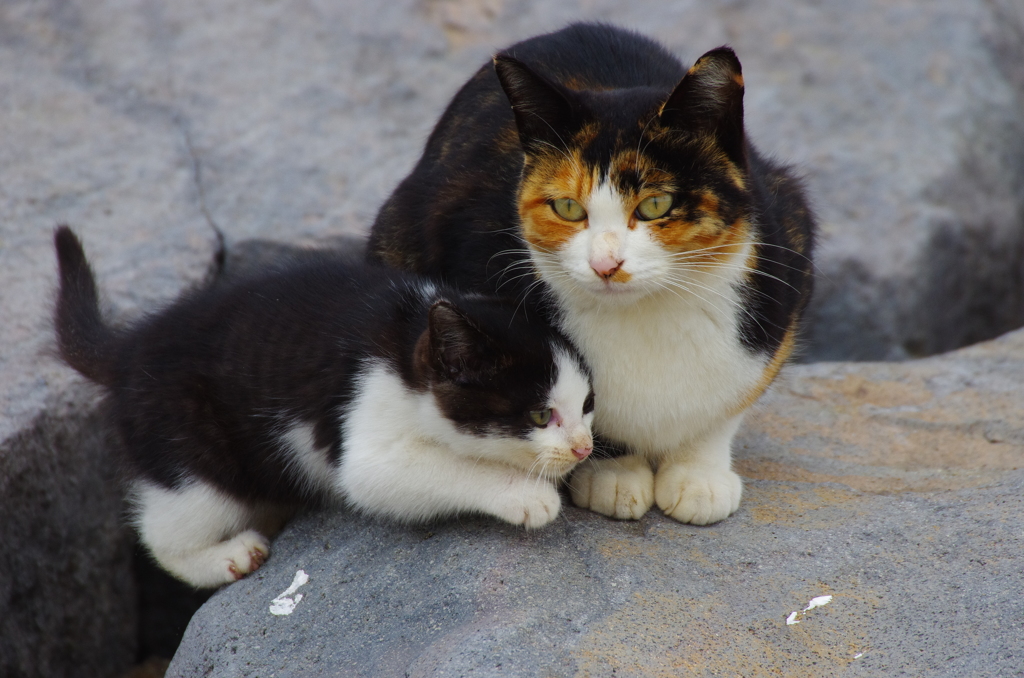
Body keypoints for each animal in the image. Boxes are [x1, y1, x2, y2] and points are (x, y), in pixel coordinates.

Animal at [56, 228, 598, 589]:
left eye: (589, 404)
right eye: (539, 416)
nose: (583, 448)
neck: (408, 340)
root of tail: (130, 349)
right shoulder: (365, 412)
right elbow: (427, 469)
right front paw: (527, 495)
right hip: (193, 456)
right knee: (164, 529)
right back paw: (228, 557)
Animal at [368, 22, 815, 524]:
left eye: (656, 204)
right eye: (567, 207)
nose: (605, 264)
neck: (647, 318)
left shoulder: (787, 261)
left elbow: (728, 405)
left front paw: (700, 475)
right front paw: (614, 474)